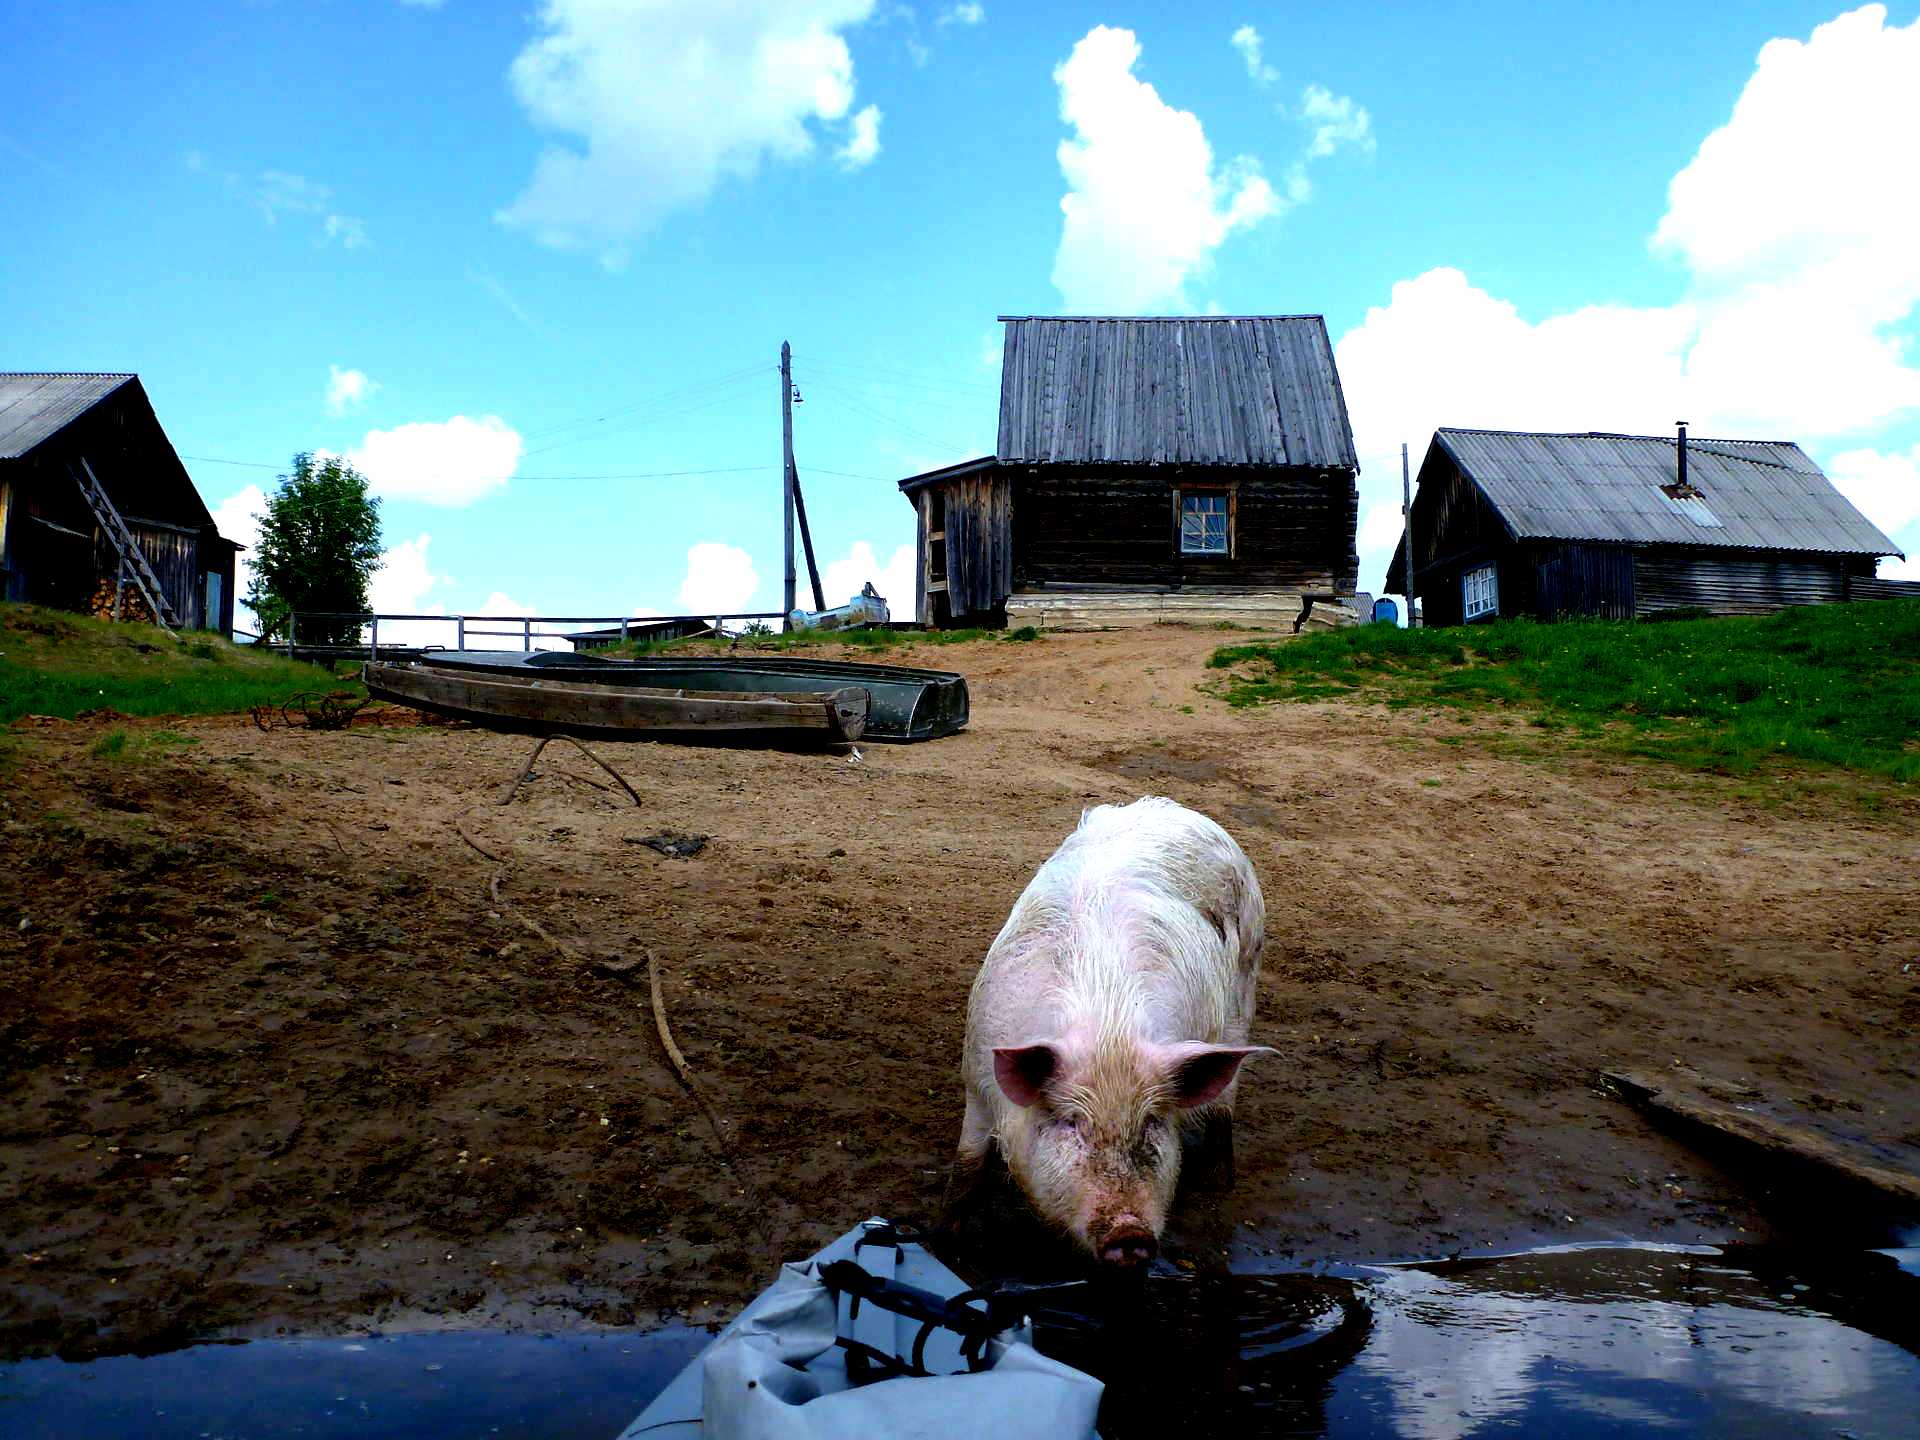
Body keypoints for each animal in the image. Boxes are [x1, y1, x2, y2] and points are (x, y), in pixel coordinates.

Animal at [960, 802, 1274, 1274]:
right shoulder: (977, 1075)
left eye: (1153, 1122)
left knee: (1225, 1099)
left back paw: (1217, 1183)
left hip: (1246, 980)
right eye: (1072, 1122)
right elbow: (967, 1165)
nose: (1129, 1234)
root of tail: (1178, 808)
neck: (1108, 1031)